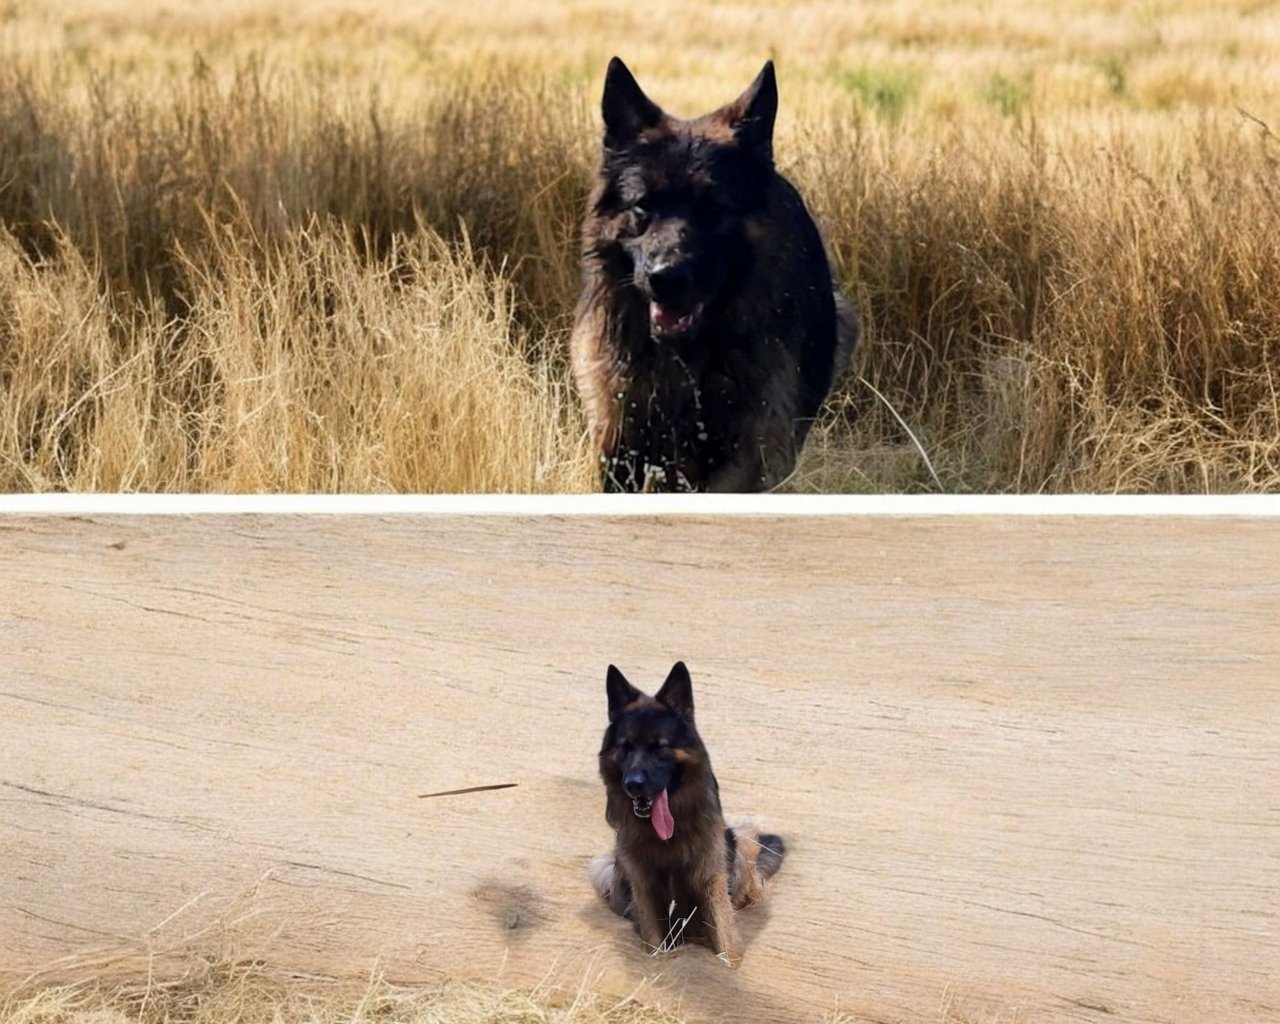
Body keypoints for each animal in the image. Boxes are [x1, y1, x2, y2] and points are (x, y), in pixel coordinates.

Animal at [570, 57, 859, 492]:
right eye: (643, 206)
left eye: (713, 208)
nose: (666, 277)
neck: (687, 362)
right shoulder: (620, 439)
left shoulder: (748, 454)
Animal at [589, 662, 786, 968]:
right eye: (626, 747)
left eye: (660, 746)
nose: (633, 784)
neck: (667, 836)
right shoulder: (644, 885)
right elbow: (654, 938)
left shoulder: (710, 879)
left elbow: (725, 936)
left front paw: (728, 969)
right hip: (610, 871)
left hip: (739, 844)